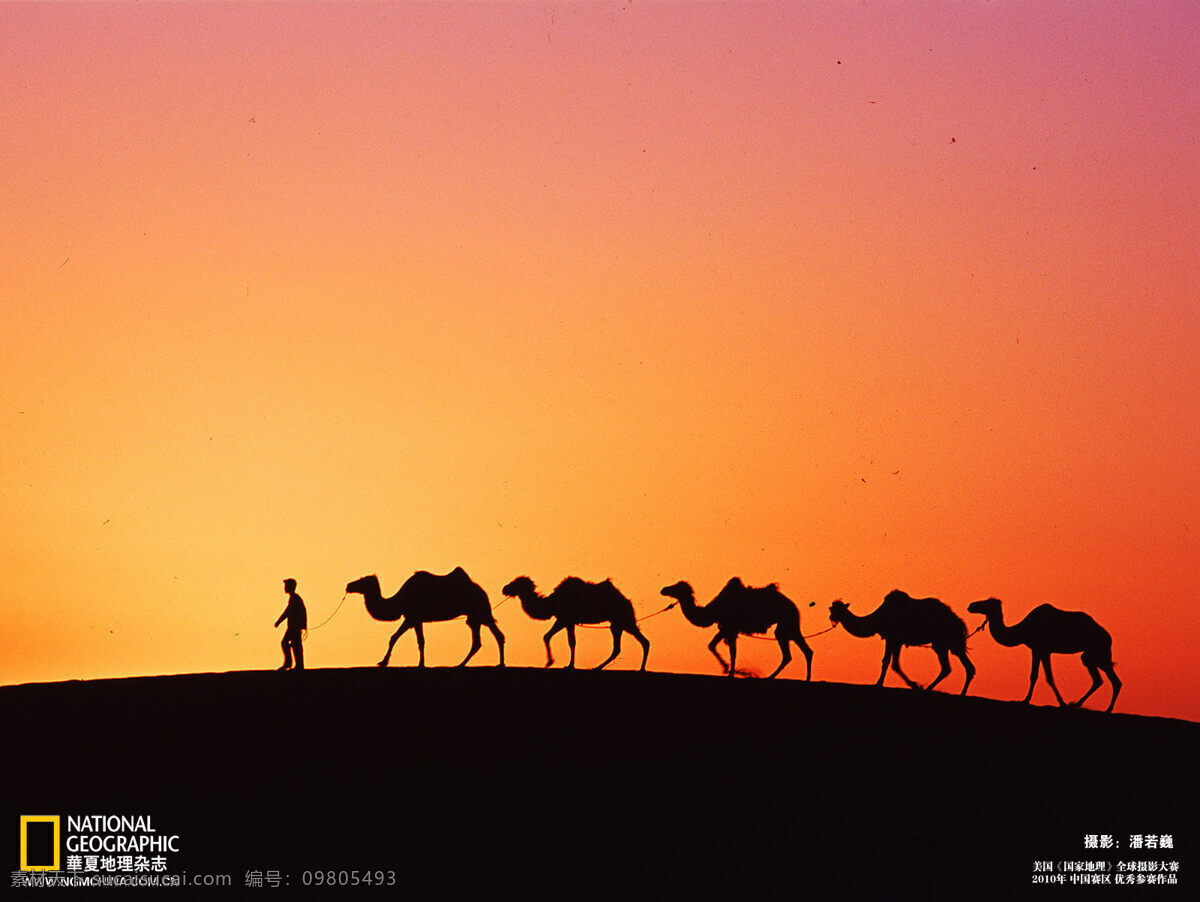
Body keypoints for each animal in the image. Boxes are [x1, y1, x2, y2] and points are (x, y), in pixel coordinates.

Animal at [345, 570, 504, 671]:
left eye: (362, 581)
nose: (348, 585)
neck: (400, 600)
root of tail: (483, 592)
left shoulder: (412, 617)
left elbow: (414, 640)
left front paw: (418, 664)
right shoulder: (414, 619)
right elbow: (399, 638)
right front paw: (384, 661)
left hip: (479, 611)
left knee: (493, 636)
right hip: (476, 616)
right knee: (484, 639)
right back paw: (466, 664)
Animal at [501, 578, 652, 671]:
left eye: (517, 582)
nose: (504, 588)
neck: (552, 603)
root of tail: (628, 602)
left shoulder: (565, 619)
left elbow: (569, 642)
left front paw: (565, 665)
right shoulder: (567, 621)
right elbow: (552, 637)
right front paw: (552, 662)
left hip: (624, 619)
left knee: (643, 642)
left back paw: (641, 668)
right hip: (617, 623)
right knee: (620, 647)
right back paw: (598, 667)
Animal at [657, 580, 816, 681]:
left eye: (677, 587)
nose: (663, 589)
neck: (713, 611)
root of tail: (794, 606)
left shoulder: (730, 627)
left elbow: (732, 652)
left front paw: (735, 672)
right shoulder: (726, 628)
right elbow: (713, 645)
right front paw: (730, 670)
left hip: (786, 622)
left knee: (790, 653)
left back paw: (774, 677)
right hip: (790, 625)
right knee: (803, 651)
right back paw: (804, 678)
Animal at [835, 587, 974, 695]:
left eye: (834, 609)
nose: (832, 617)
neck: (878, 618)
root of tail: (959, 621)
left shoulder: (892, 638)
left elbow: (888, 662)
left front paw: (879, 684)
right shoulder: (896, 640)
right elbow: (893, 663)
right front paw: (915, 685)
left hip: (946, 641)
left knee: (956, 667)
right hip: (945, 644)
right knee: (955, 667)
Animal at [960, 599, 1118, 710]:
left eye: (987, 602)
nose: (971, 605)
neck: (1024, 629)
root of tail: (1108, 637)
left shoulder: (1042, 649)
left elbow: (1046, 677)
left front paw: (1059, 702)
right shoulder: (1037, 650)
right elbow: (1035, 675)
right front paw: (1027, 700)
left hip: (1098, 650)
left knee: (1112, 680)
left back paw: (1105, 709)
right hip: (1092, 654)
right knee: (1100, 679)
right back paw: (1081, 705)